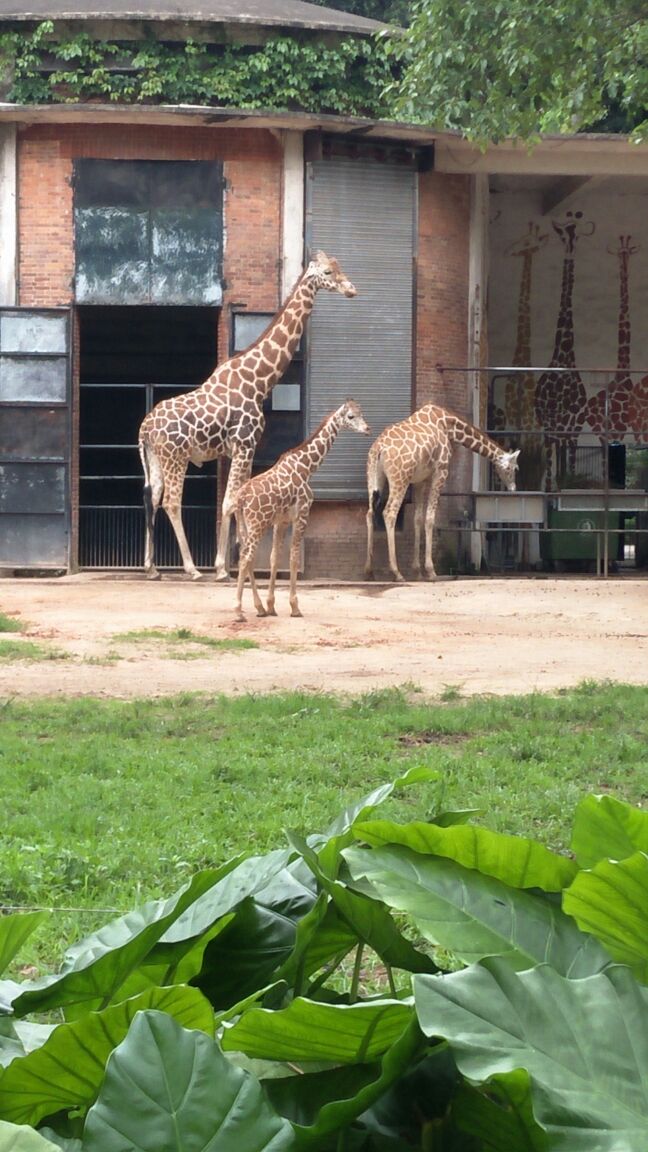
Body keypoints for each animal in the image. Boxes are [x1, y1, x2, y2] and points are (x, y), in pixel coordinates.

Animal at [138, 248, 355, 580]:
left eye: (339, 267)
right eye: (329, 273)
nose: (352, 289)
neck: (259, 382)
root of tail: (145, 429)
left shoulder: (241, 449)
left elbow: (235, 497)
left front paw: (234, 557)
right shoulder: (244, 445)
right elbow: (230, 501)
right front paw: (222, 568)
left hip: (155, 458)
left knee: (152, 498)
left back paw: (151, 568)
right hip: (177, 457)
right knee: (172, 502)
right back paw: (191, 568)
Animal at [234, 405, 371, 622]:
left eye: (361, 413)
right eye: (351, 416)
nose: (367, 429)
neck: (307, 467)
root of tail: (241, 498)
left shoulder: (281, 522)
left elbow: (274, 558)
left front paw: (271, 606)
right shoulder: (302, 515)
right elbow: (294, 558)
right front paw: (295, 607)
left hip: (245, 525)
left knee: (246, 557)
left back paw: (259, 608)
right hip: (257, 524)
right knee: (246, 558)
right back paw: (239, 611)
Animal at [364, 407, 518, 585]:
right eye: (511, 468)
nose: (513, 488)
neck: (448, 426)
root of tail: (379, 448)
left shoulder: (420, 480)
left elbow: (417, 519)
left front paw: (417, 571)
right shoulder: (441, 471)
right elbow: (430, 519)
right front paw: (431, 571)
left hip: (374, 477)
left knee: (370, 513)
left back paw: (369, 571)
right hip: (400, 479)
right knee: (389, 513)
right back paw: (397, 573)